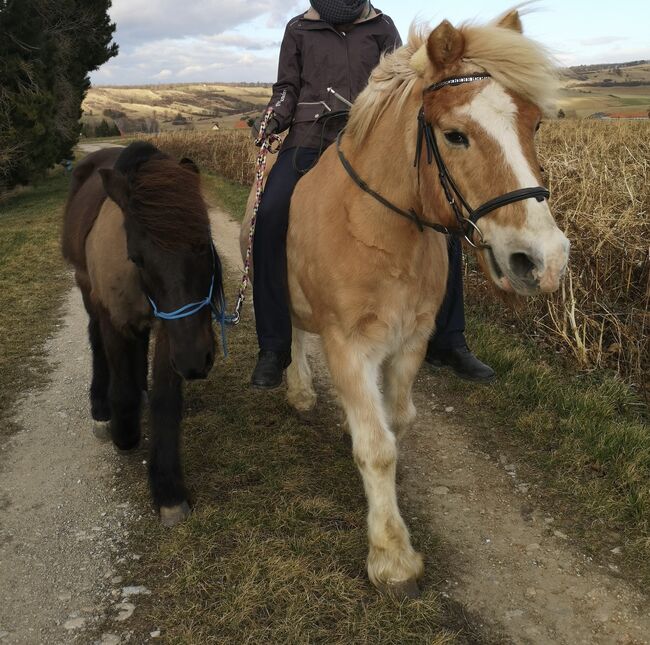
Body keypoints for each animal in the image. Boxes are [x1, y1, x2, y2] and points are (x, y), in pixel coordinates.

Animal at [62, 141, 223, 524]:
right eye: (137, 258)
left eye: (202, 243)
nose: (196, 360)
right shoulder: (114, 318)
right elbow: (120, 386)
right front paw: (125, 432)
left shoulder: (172, 332)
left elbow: (166, 399)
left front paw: (168, 491)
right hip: (86, 290)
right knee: (97, 345)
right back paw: (101, 408)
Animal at [243, 10, 568, 596]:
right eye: (455, 135)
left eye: (532, 125)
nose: (544, 261)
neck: (378, 228)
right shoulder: (348, 346)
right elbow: (377, 448)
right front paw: (392, 556)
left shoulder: (411, 340)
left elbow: (396, 422)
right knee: (293, 336)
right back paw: (297, 389)